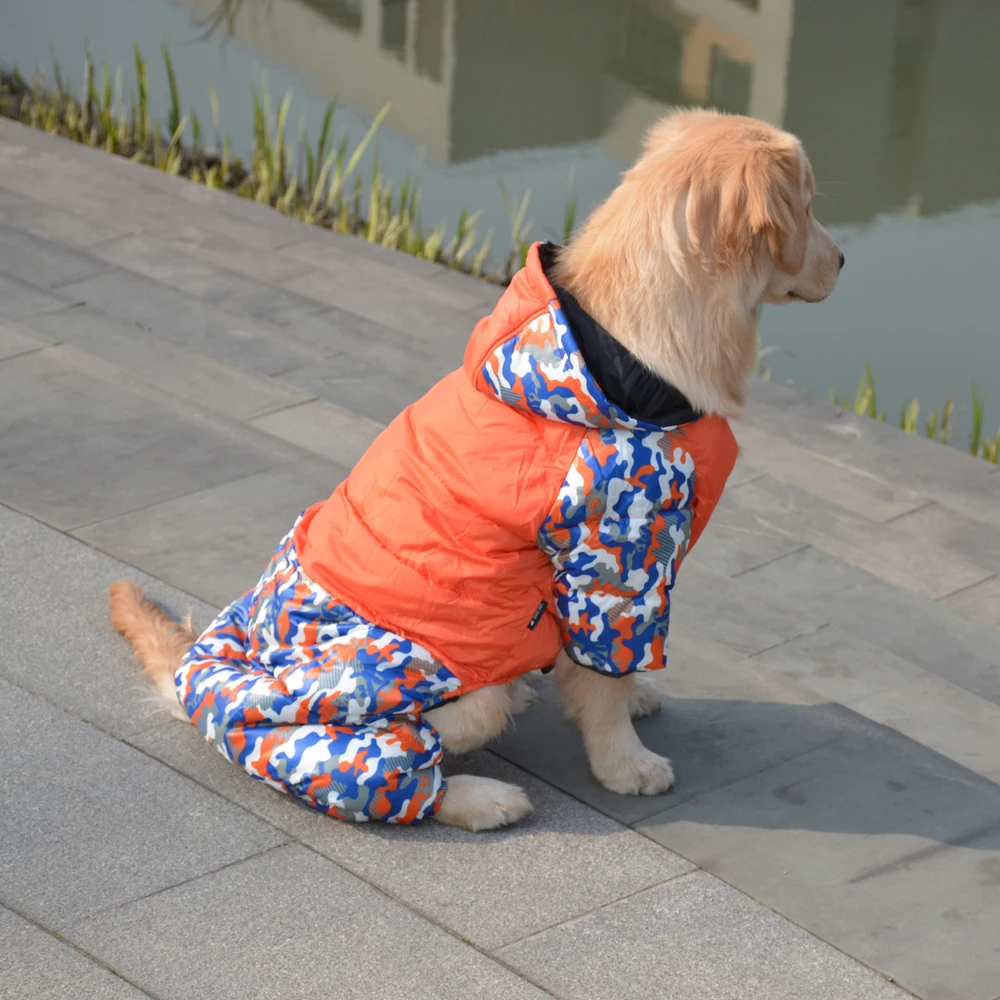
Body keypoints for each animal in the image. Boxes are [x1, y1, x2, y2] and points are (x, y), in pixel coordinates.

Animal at [111, 107, 844, 828]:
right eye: (808, 206)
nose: (842, 260)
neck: (617, 357)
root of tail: (198, 675)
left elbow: (606, 665)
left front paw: (633, 696)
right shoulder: (616, 557)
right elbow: (603, 675)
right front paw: (626, 762)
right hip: (358, 713)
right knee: (399, 764)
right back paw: (484, 794)